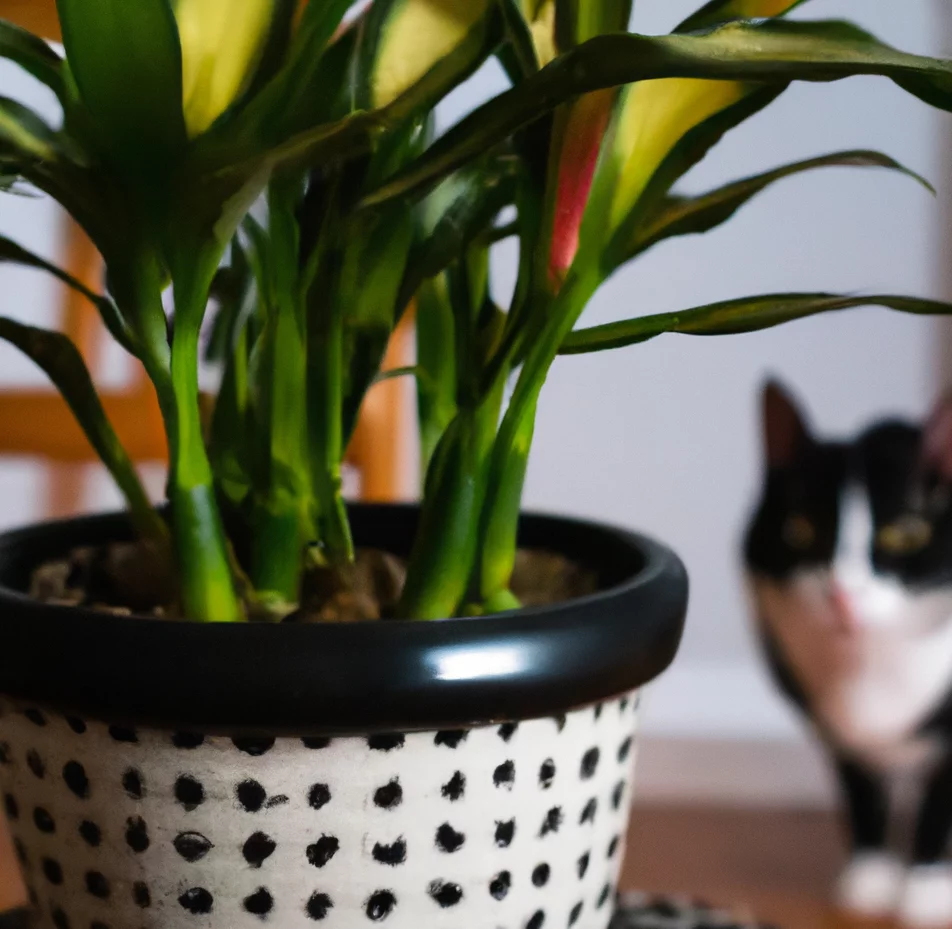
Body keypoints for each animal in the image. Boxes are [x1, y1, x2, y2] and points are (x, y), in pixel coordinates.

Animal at [748, 380, 952, 924]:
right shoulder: (830, 725)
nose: (842, 592)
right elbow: (859, 785)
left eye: (905, 533)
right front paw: (871, 875)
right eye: (799, 529)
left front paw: (927, 887)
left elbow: (939, 801)